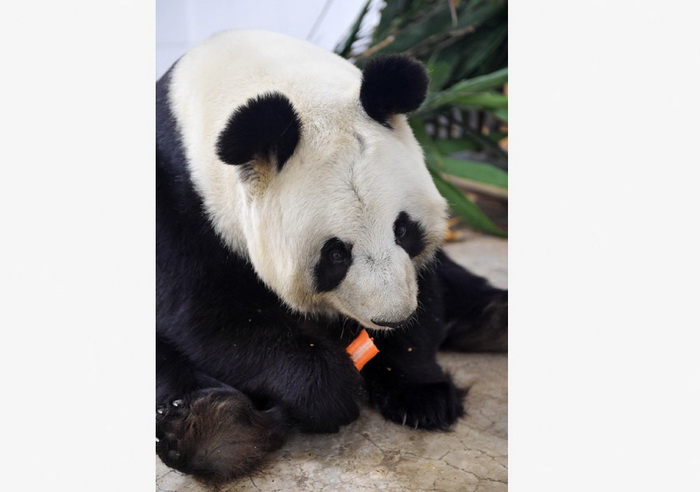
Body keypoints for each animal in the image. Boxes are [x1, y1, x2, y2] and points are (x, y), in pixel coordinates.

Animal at [156, 29, 507, 485]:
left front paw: (422, 392)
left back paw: (494, 320)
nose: (390, 318)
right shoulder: (178, 204)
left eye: (402, 229)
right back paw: (217, 432)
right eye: (336, 253)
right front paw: (330, 391)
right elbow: (213, 318)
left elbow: (425, 287)